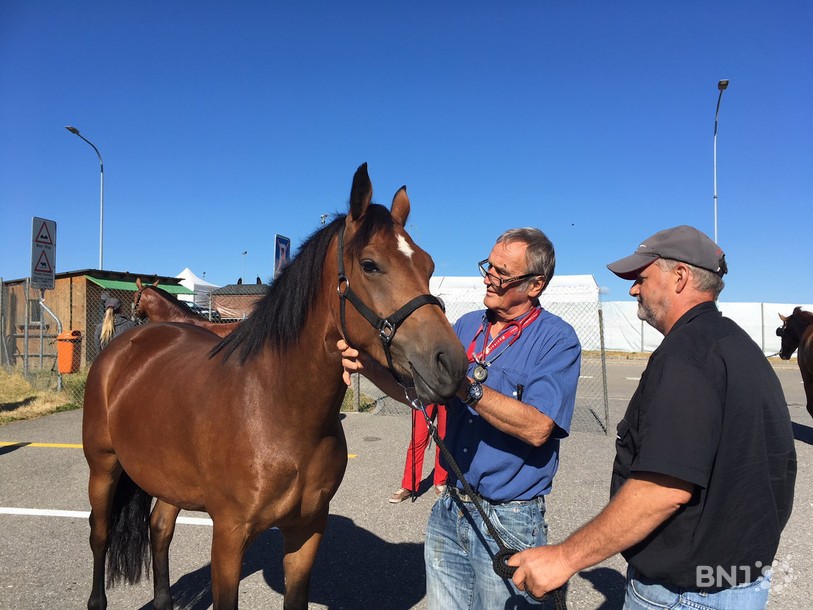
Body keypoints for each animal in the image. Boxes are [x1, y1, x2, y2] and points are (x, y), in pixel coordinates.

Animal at [82, 163, 469, 610]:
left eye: (428, 264)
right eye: (370, 264)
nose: (451, 364)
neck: (276, 410)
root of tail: (125, 344)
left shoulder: (306, 531)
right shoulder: (229, 537)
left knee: (159, 528)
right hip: (103, 467)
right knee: (100, 534)